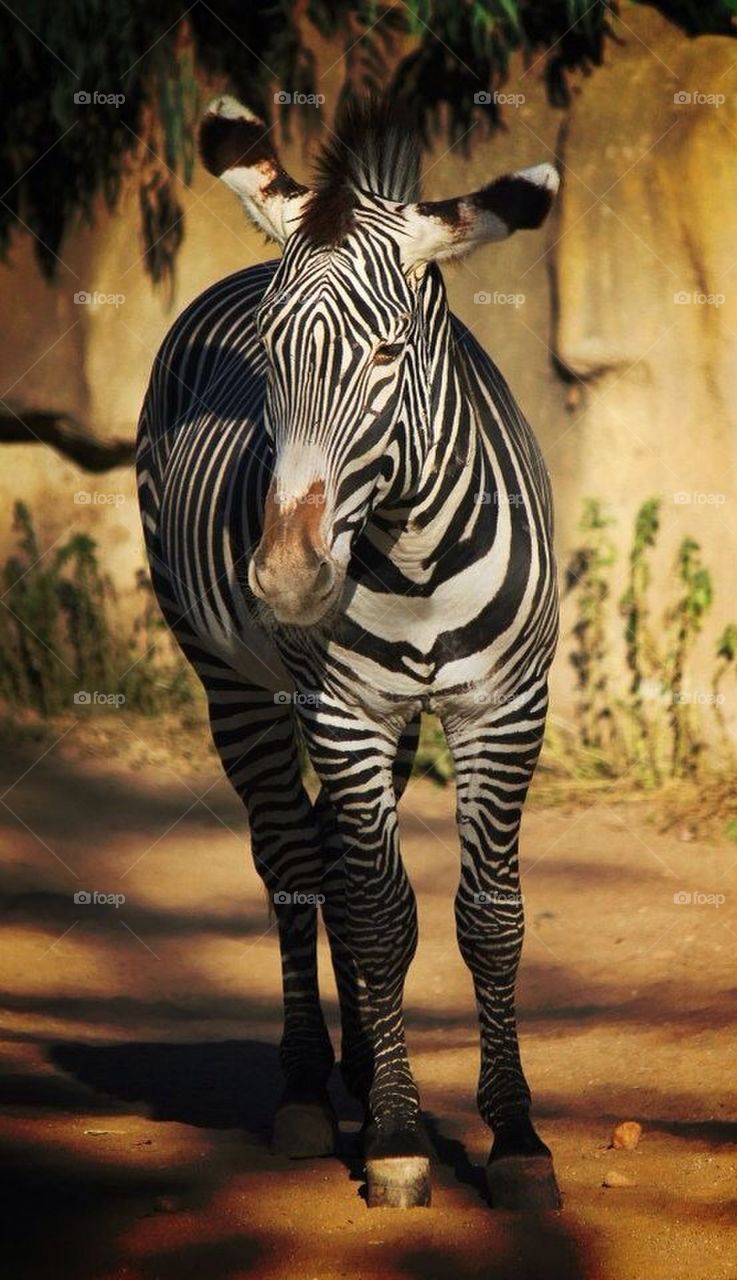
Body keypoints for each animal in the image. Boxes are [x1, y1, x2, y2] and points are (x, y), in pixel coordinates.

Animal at [136, 93, 561, 1211]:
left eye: (386, 354)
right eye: (268, 355)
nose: (287, 580)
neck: (412, 552)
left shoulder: (504, 710)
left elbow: (487, 919)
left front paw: (513, 1137)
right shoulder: (341, 709)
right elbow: (377, 914)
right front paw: (401, 1137)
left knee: (330, 851)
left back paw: (363, 1070)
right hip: (236, 685)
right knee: (294, 858)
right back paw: (305, 1088)